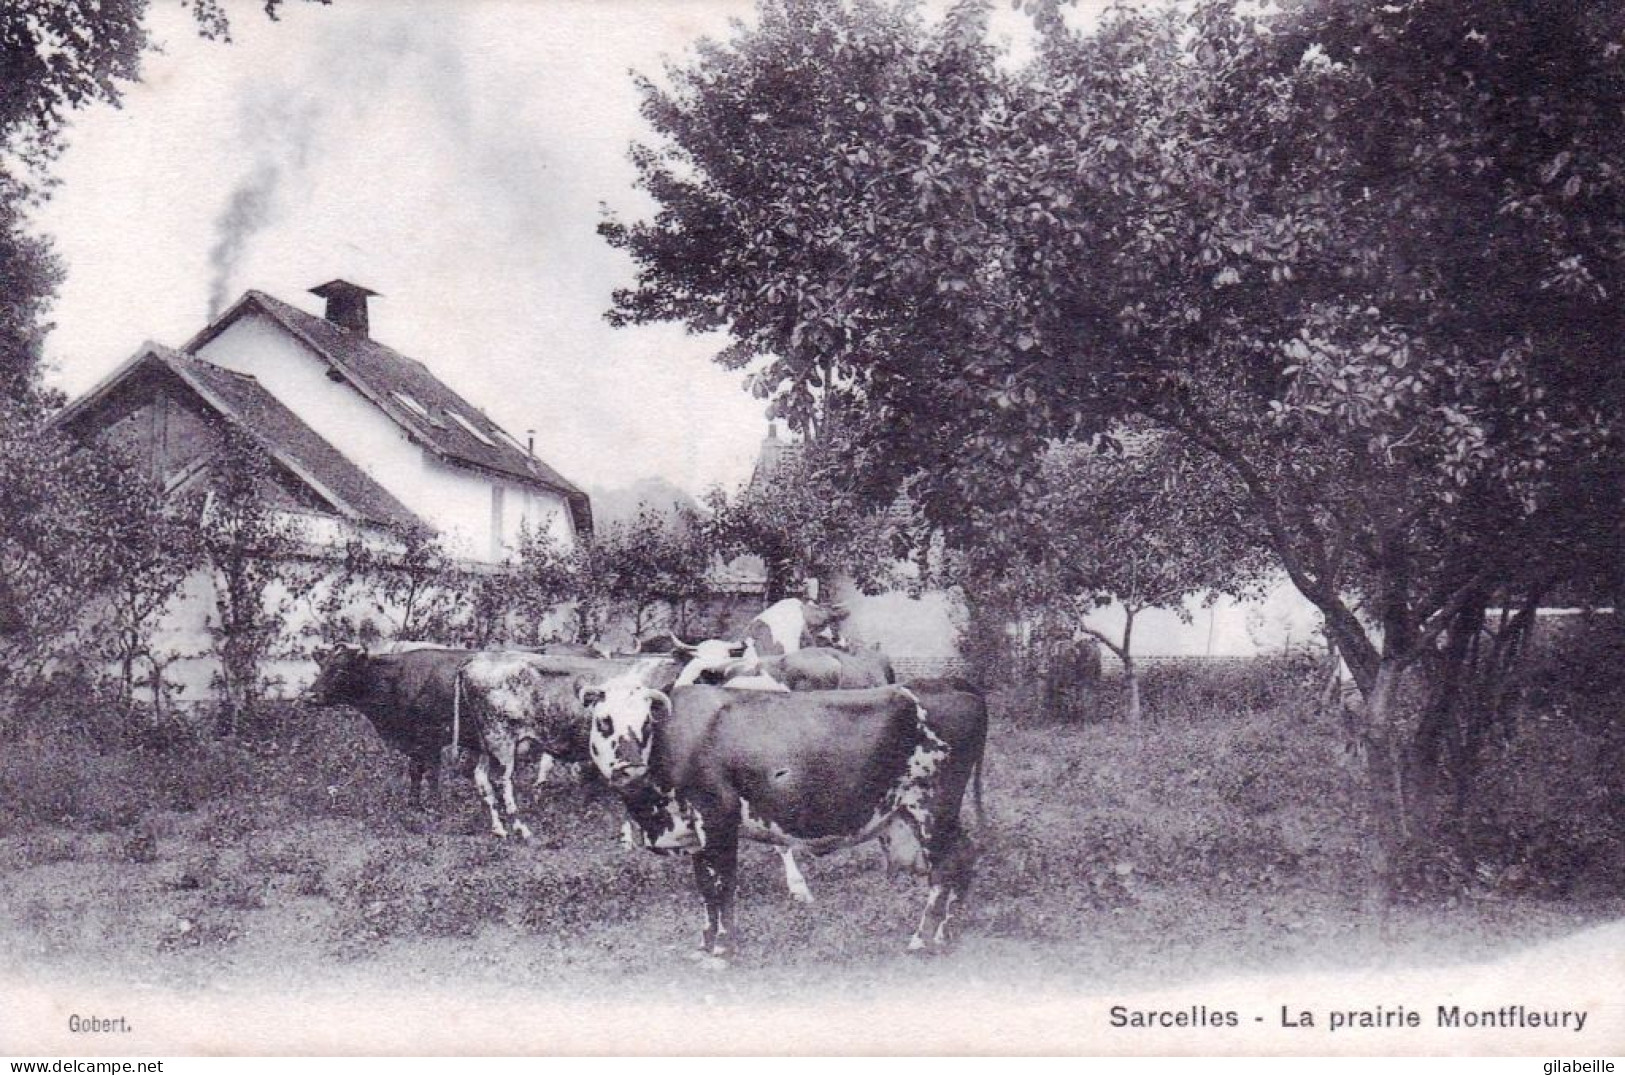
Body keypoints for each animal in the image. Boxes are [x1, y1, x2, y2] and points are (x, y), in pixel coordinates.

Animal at [585, 685, 975, 974]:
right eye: (604, 721)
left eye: (645, 723)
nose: (630, 769)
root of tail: (960, 690)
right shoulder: (698, 836)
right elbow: (706, 890)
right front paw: (705, 945)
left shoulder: (718, 822)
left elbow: (722, 888)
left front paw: (722, 951)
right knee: (965, 853)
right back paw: (945, 933)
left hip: (931, 807)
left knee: (944, 868)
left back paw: (923, 939)